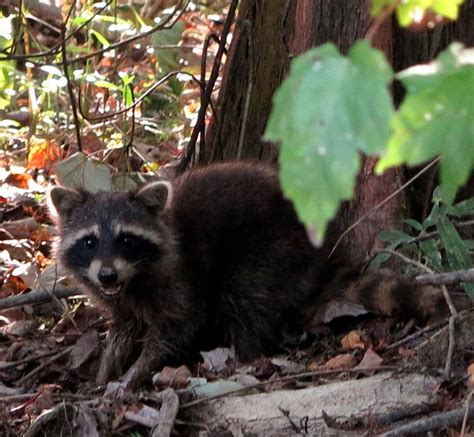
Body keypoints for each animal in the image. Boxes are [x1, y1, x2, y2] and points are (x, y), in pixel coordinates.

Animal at [49, 162, 448, 386]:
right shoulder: (122, 300)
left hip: (272, 249)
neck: (134, 279)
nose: (107, 275)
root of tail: (325, 248)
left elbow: (178, 327)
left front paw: (137, 373)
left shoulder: (180, 278)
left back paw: (245, 355)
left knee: (244, 294)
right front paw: (106, 371)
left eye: (127, 240)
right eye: (89, 242)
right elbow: (123, 329)